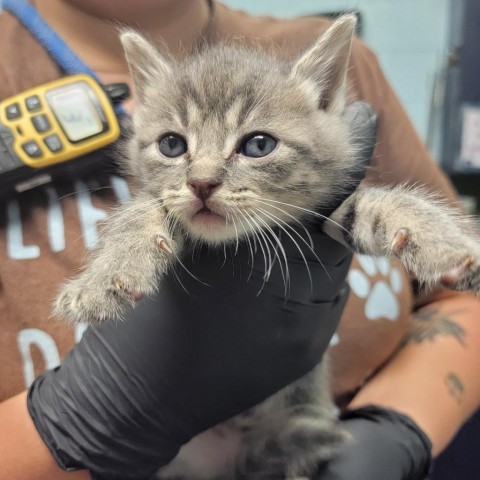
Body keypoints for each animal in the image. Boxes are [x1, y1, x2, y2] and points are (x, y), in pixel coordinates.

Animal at [54, 15, 480, 480]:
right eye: (172, 145)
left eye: (259, 145)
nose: (201, 183)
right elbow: (143, 208)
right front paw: (104, 277)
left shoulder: (322, 214)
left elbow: (377, 204)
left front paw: (443, 240)